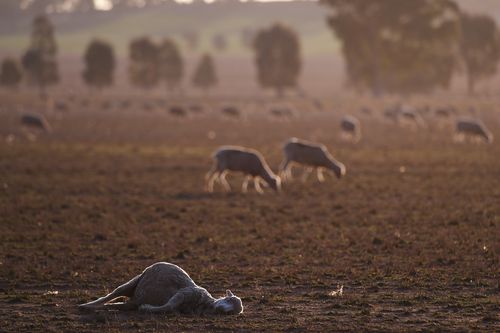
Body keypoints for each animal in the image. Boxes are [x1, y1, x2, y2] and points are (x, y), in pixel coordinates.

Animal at [79, 262, 243, 314]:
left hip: (132, 300)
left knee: (121, 304)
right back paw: (86, 305)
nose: (221, 309)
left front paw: (146, 308)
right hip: (134, 281)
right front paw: (148, 308)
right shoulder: (184, 293)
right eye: (229, 299)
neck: (204, 303)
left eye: (231, 313)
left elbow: (170, 308)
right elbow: (169, 306)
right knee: (112, 294)